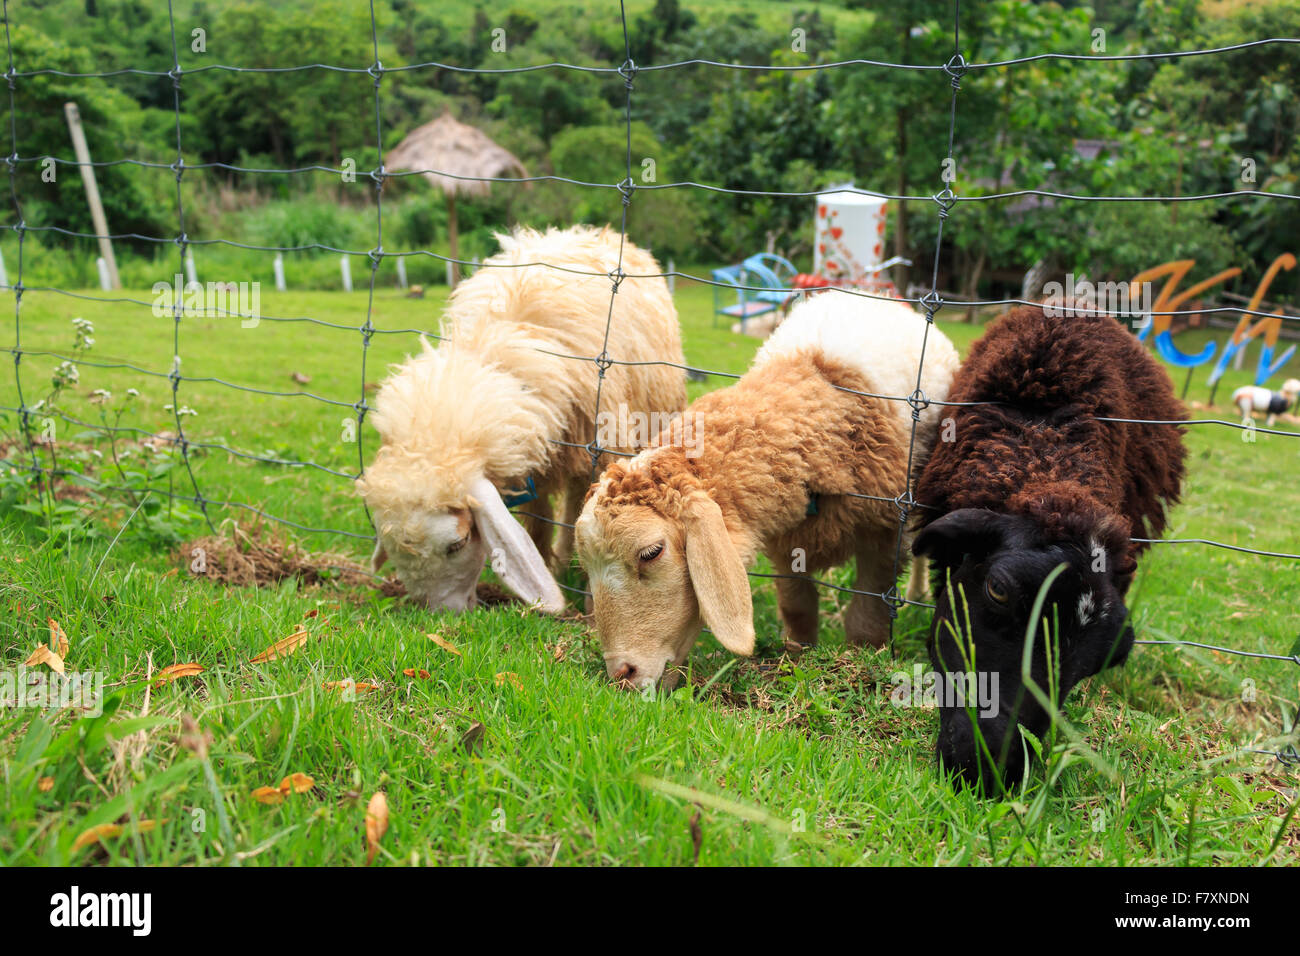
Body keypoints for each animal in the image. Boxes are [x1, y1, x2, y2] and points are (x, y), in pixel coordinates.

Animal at [351, 225, 686, 613]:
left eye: (457, 543)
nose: (445, 613)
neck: (503, 351)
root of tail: (590, 231)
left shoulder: (602, 449)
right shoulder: (535, 467)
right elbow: (537, 524)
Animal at [574, 291, 961, 686]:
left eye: (651, 552)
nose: (621, 674)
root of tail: (884, 299)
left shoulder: (881, 531)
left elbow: (865, 618)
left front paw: (861, 659)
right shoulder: (784, 534)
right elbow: (797, 607)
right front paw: (798, 655)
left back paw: (917, 590)